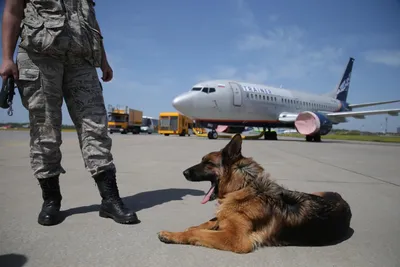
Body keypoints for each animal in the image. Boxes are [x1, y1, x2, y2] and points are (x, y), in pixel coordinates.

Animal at [158, 135, 352, 254]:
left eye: (207, 163)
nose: (183, 173)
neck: (243, 188)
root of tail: (343, 200)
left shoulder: (235, 239)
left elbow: (199, 233)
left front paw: (172, 234)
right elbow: (206, 223)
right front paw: (189, 228)